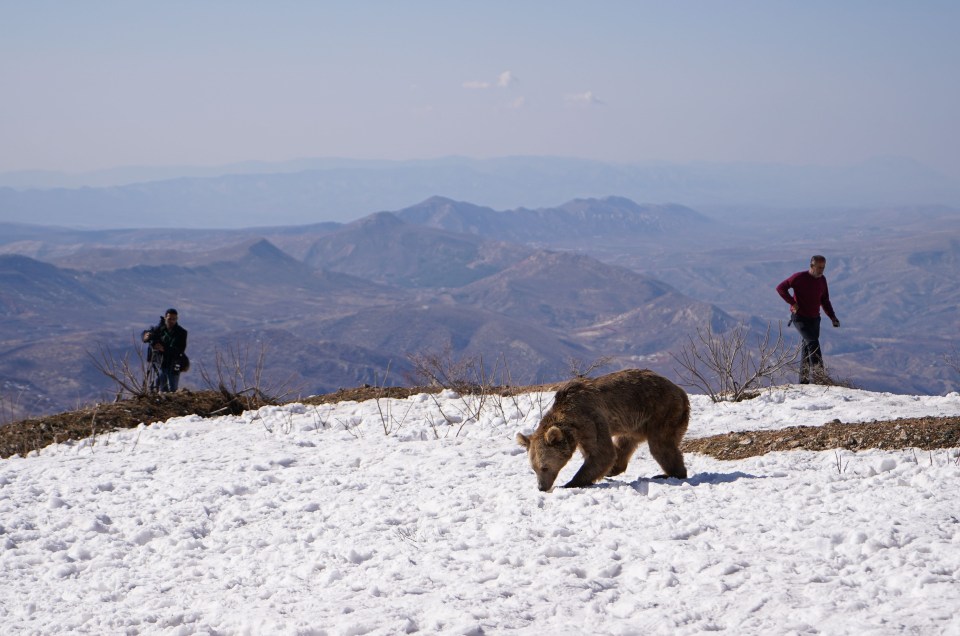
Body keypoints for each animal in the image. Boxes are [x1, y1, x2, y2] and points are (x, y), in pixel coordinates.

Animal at [516, 368, 688, 492]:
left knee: (661, 446)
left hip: (662, 411)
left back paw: (668, 474)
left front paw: (569, 483)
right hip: (634, 422)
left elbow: (602, 453)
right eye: (533, 468)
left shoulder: (589, 420)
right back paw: (613, 470)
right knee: (625, 444)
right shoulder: (583, 432)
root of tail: (681, 391)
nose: (541, 487)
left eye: (544, 467)